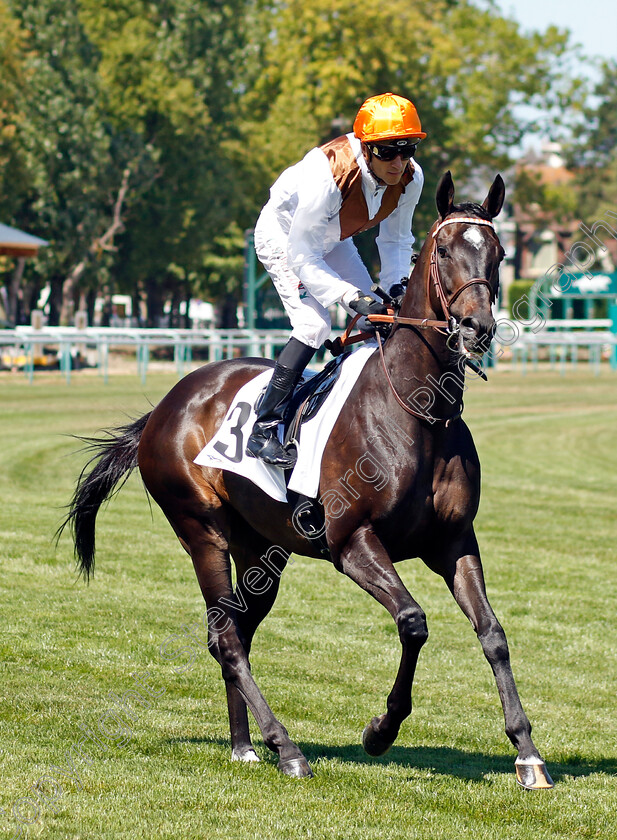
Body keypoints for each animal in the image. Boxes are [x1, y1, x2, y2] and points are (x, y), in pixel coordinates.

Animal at [62, 174, 552, 792]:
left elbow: (493, 633)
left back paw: (245, 745)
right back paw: (286, 747)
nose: (477, 329)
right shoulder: (353, 542)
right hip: (203, 531)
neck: (418, 412)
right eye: (442, 250)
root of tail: (165, 408)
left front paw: (527, 752)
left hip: (259, 551)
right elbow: (413, 623)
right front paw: (380, 730)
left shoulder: (455, 542)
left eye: (500, 252)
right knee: (226, 637)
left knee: (234, 632)